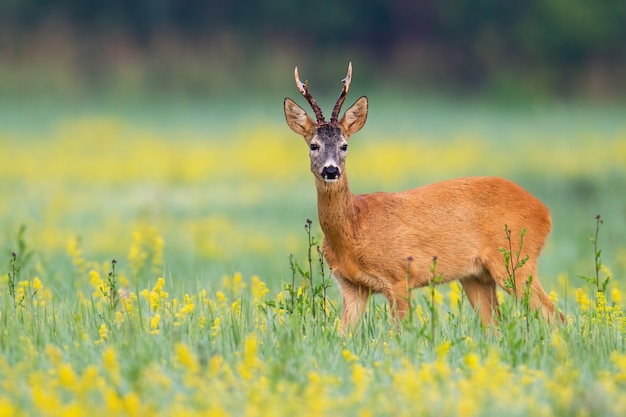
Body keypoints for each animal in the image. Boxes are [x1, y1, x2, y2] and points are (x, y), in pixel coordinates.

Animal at [282, 61, 560, 332]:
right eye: (313, 145)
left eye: (344, 145)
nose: (331, 170)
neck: (355, 227)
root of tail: (545, 212)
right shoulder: (351, 286)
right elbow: (344, 335)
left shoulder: (400, 276)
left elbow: (399, 334)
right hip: (476, 276)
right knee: (496, 325)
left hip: (515, 262)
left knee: (555, 316)